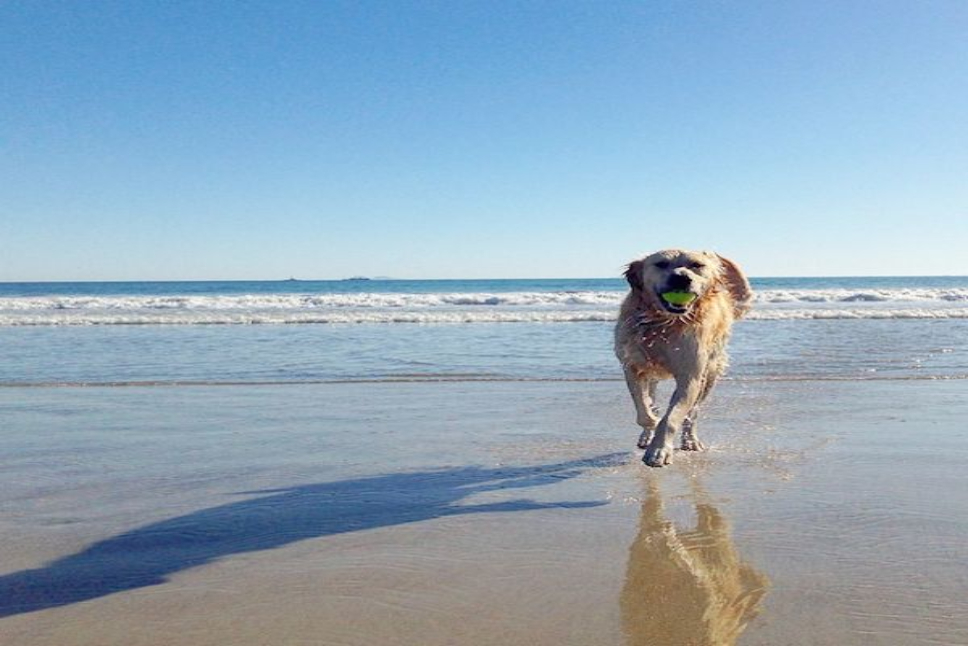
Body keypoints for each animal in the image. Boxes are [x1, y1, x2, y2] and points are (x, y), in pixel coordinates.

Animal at [616, 251, 752, 468]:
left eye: (696, 265)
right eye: (661, 264)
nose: (681, 278)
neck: (663, 323)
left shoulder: (690, 377)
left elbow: (671, 417)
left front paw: (659, 450)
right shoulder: (632, 366)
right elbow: (643, 408)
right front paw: (651, 423)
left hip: (710, 374)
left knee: (693, 413)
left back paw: (690, 441)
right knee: (652, 397)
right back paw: (646, 435)